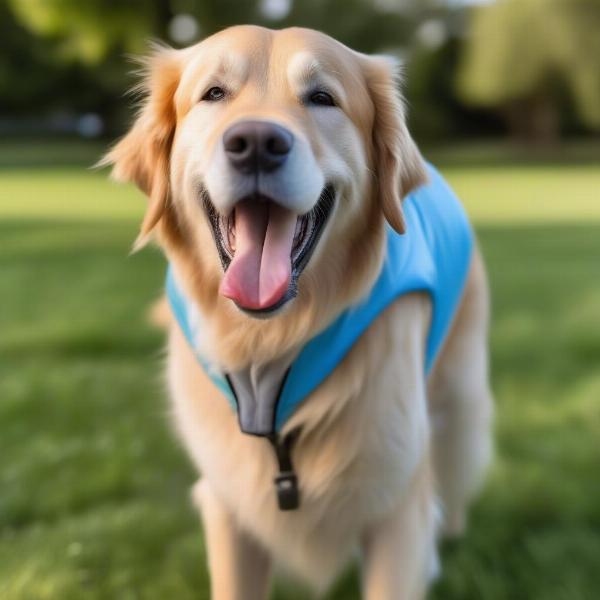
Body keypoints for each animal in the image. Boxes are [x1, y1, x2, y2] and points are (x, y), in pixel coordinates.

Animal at [103, 24, 494, 600]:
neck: (270, 346)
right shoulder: (228, 506)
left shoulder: (397, 503)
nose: (256, 144)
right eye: (213, 93)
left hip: (459, 393)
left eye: (322, 98)